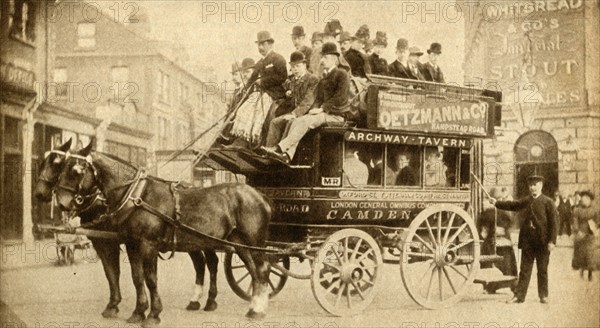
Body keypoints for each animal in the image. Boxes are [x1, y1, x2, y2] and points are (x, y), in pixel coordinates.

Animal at [32, 139, 220, 320]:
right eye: (44, 162)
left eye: (59, 164)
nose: (40, 194)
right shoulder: (106, 242)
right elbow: (113, 274)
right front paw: (115, 306)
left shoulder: (117, 242)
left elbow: (127, 274)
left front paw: (134, 308)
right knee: (201, 262)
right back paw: (197, 300)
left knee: (210, 262)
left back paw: (209, 300)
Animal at [54, 142, 272, 324]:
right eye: (61, 167)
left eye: (76, 170)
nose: (62, 203)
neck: (137, 196)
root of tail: (259, 195)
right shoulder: (132, 244)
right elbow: (137, 277)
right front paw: (138, 312)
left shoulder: (148, 244)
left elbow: (151, 279)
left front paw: (153, 314)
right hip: (237, 242)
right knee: (251, 270)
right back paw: (250, 305)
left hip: (254, 241)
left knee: (262, 269)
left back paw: (257, 310)